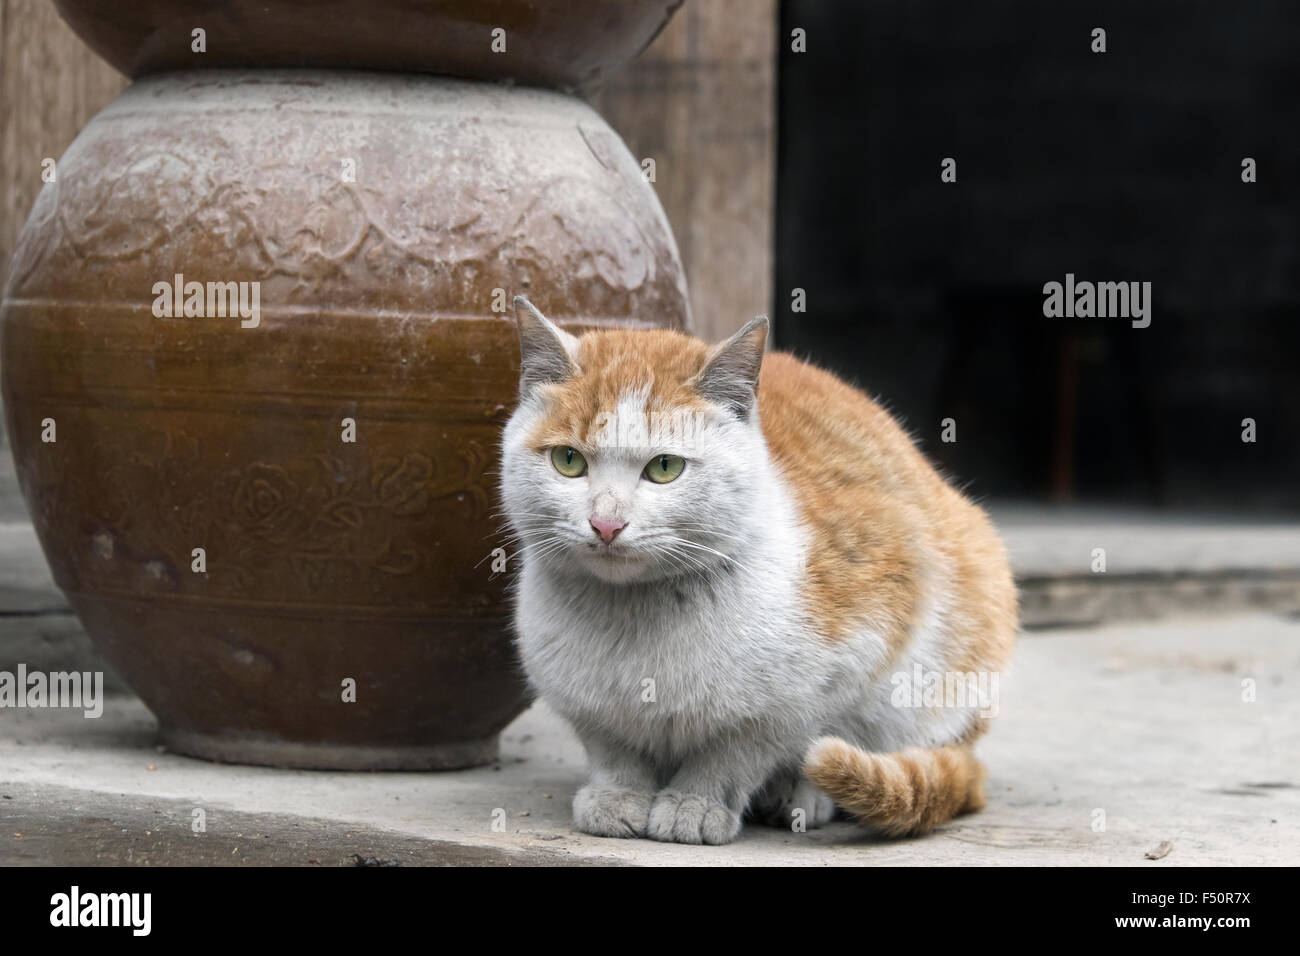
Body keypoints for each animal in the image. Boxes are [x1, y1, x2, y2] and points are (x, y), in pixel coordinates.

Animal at [496, 297, 1013, 842]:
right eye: (568, 460)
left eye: (664, 468)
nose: (606, 523)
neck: (635, 616)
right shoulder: (582, 702)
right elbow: (613, 749)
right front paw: (617, 796)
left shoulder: (848, 651)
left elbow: (737, 752)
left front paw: (695, 803)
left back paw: (798, 797)